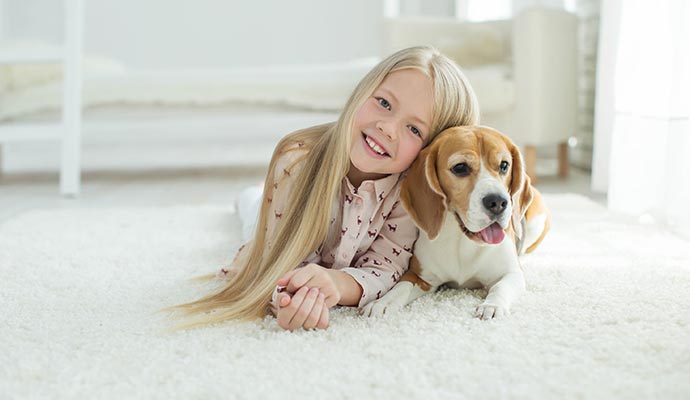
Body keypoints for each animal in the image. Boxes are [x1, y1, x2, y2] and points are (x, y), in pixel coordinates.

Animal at [360, 126, 548, 320]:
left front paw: (492, 306)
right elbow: (401, 287)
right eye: (460, 167)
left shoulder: (512, 273)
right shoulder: (420, 276)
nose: (498, 202)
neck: (462, 241)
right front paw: (382, 302)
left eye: (504, 165)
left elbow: (500, 287)